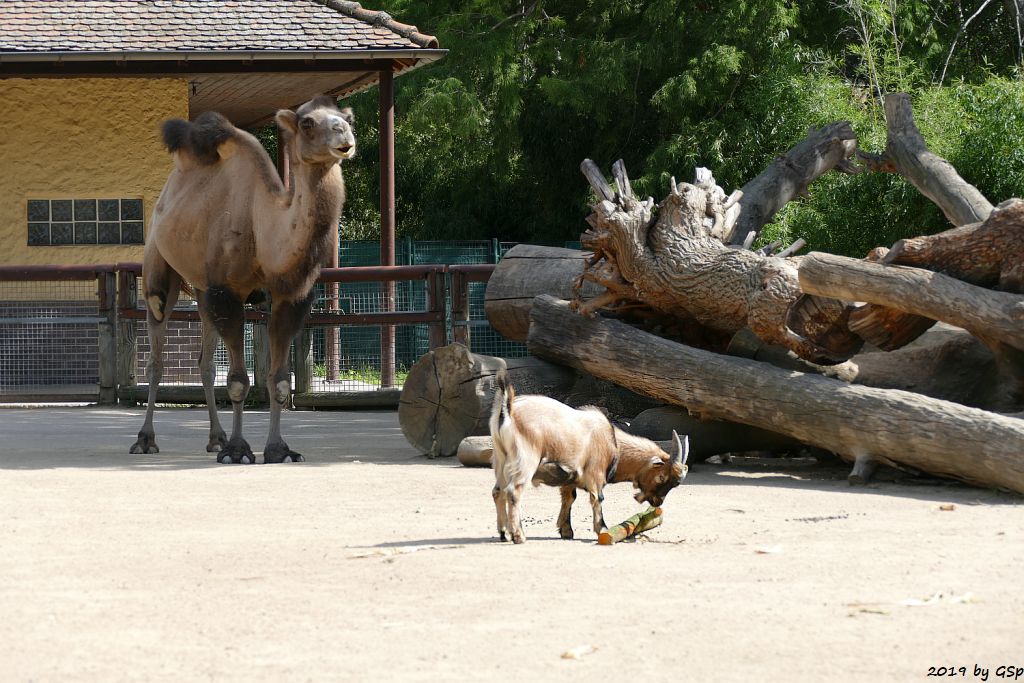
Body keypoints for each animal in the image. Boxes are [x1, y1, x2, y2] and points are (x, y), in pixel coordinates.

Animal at [130, 96, 358, 464]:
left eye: (347, 118)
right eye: (308, 123)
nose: (343, 135)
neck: (262, 227)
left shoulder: (290, 297)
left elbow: (279, 380)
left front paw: (279, 449)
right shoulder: (228, 292)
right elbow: (238, 380)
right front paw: (238, 450)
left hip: (202, 289)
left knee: (205, 364)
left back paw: (216, 438)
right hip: (157, 265)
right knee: (156, 355)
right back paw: (146, 440)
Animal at [489, 374, 688, 544]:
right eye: (662, 477)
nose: (657, 502)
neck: (613, 443)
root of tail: (507, 409)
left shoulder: (570, 478)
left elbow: (569, 498)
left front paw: (566, 531)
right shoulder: (595, 473)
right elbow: (597, 498)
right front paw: (603, 529)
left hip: (501, 458)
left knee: (498, 491)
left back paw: (504, 533)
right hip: (526, 459)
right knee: (513, 492)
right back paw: (518, 535)